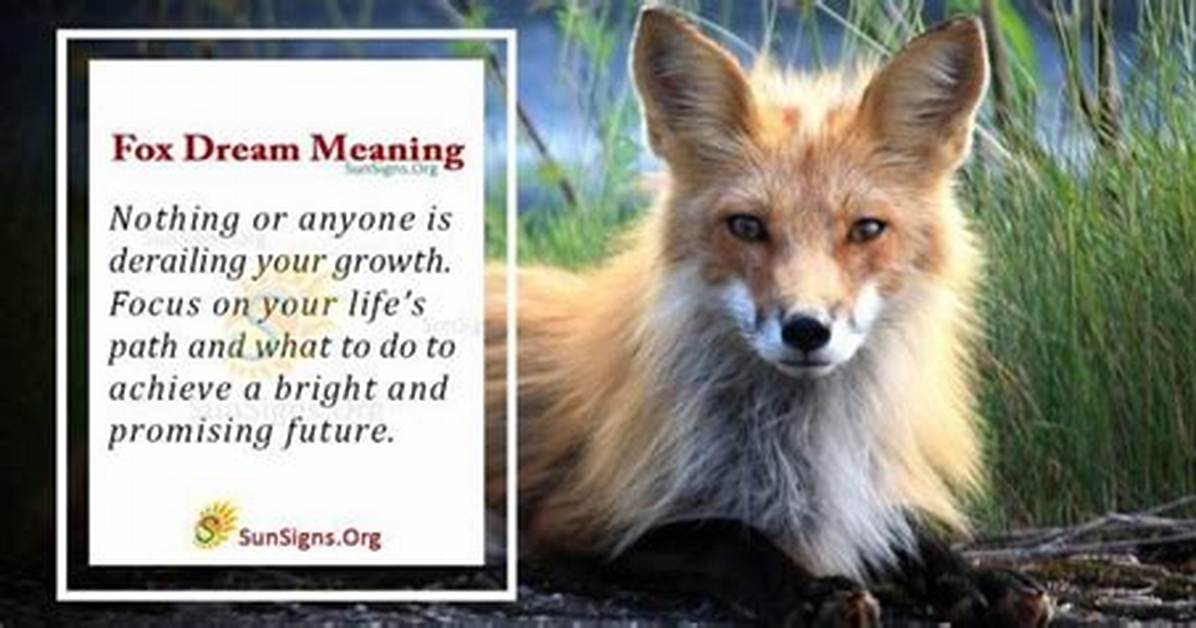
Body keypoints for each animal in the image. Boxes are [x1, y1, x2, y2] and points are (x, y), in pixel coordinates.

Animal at [486, 8, 1051, 627]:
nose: (806, 329)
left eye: (866, 229)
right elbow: (728, 536)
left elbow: (908, 533)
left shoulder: (859, 495)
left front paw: (976, 579)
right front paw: (813, 590)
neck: (799, 440)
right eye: (747, 226)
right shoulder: (580, 522)